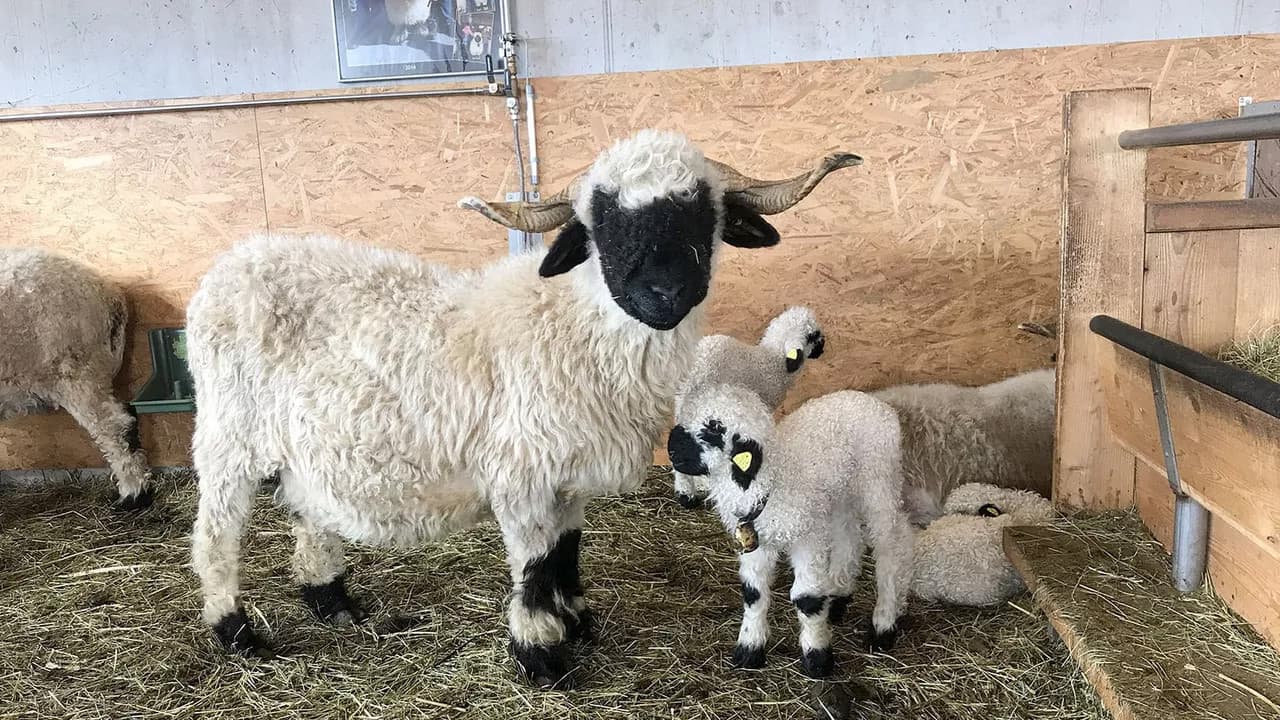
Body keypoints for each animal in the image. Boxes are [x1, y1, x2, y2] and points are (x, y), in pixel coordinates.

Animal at [668, 383, 914, 678]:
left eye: (715, 427)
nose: (670, 450)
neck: (772, 478)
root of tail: (873, 401)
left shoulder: (806, 538)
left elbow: (806, 599)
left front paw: (817, 658)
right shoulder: (757, 541)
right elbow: (753, 593)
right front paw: (749, 649)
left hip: (879, 481)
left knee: (891, 549)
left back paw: (884, 624)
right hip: (839, 494)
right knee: (849, 536)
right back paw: (838, 596)